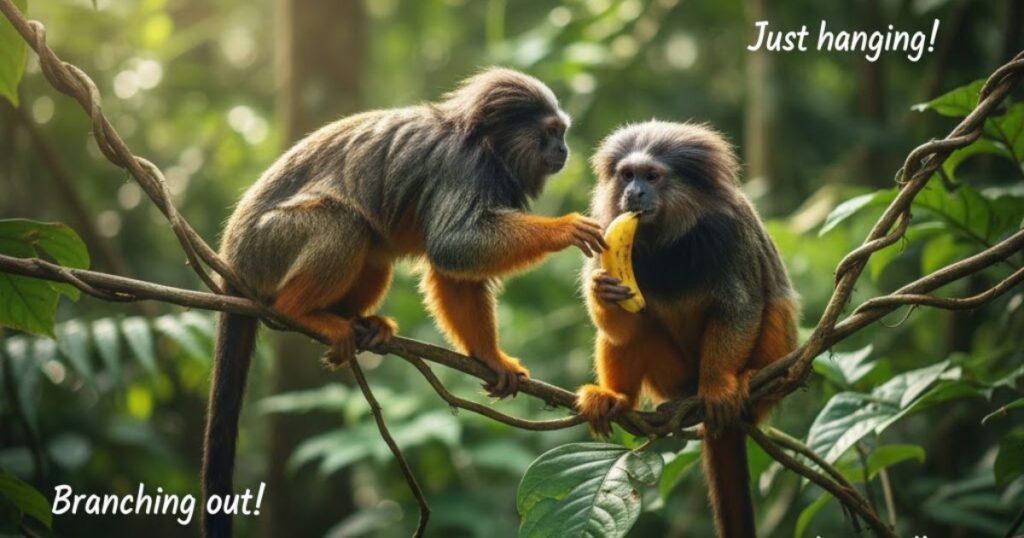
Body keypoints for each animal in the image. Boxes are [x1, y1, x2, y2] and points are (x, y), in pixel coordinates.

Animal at [202, 68, 607, 538]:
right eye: (551, 133)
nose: (563, 149)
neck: (485, 147)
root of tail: (232, 259)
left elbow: (453, 270)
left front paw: (489, 356)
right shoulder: (463, 169)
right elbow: (454, 247)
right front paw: (563, 228)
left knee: (375, 246)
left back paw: (356, 321)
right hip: (269, 246)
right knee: (346, 222)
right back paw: (299, 311)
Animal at [574, 121, 798, 538]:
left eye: (651, 176)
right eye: (627, 175)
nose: (633, 193)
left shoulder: (731, 232)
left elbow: (741, 308)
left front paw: (718, 386)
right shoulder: (606, 232)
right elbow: (620, 328)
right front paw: (604, 292)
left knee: (774, 306)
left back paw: (749, 382)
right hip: (672, 378)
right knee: (634, 335)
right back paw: (616, 399)